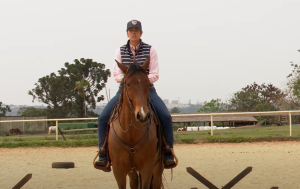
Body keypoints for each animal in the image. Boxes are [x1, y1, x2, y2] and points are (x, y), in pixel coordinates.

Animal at [108, 58, 164, 188]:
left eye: (147, 83)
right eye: (128, 84)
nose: (142, 115)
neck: (131, 135)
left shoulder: (147, 169)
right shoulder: (118, 170)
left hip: (157, 169)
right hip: (132, 172)